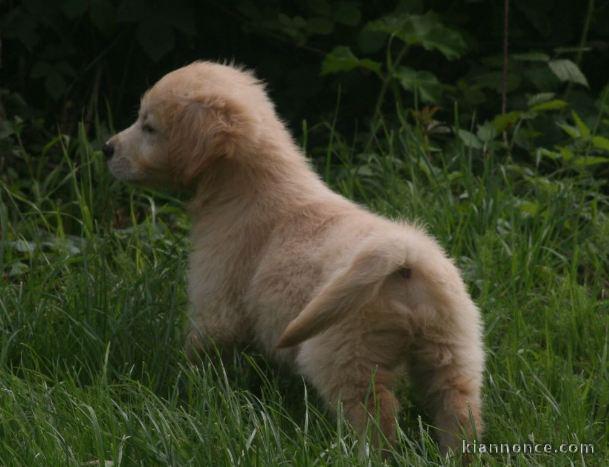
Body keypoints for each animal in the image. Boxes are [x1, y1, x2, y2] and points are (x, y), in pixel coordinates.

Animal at [104, 60, 484, 452]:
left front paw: (184, 384)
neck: (247, 187)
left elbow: (202, 350)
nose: (106, 148)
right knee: (458, 407)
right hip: (453, 351)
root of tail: (407, 255)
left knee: (374, 416)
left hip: (344, 354)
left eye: (149, 127)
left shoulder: (217, 304)